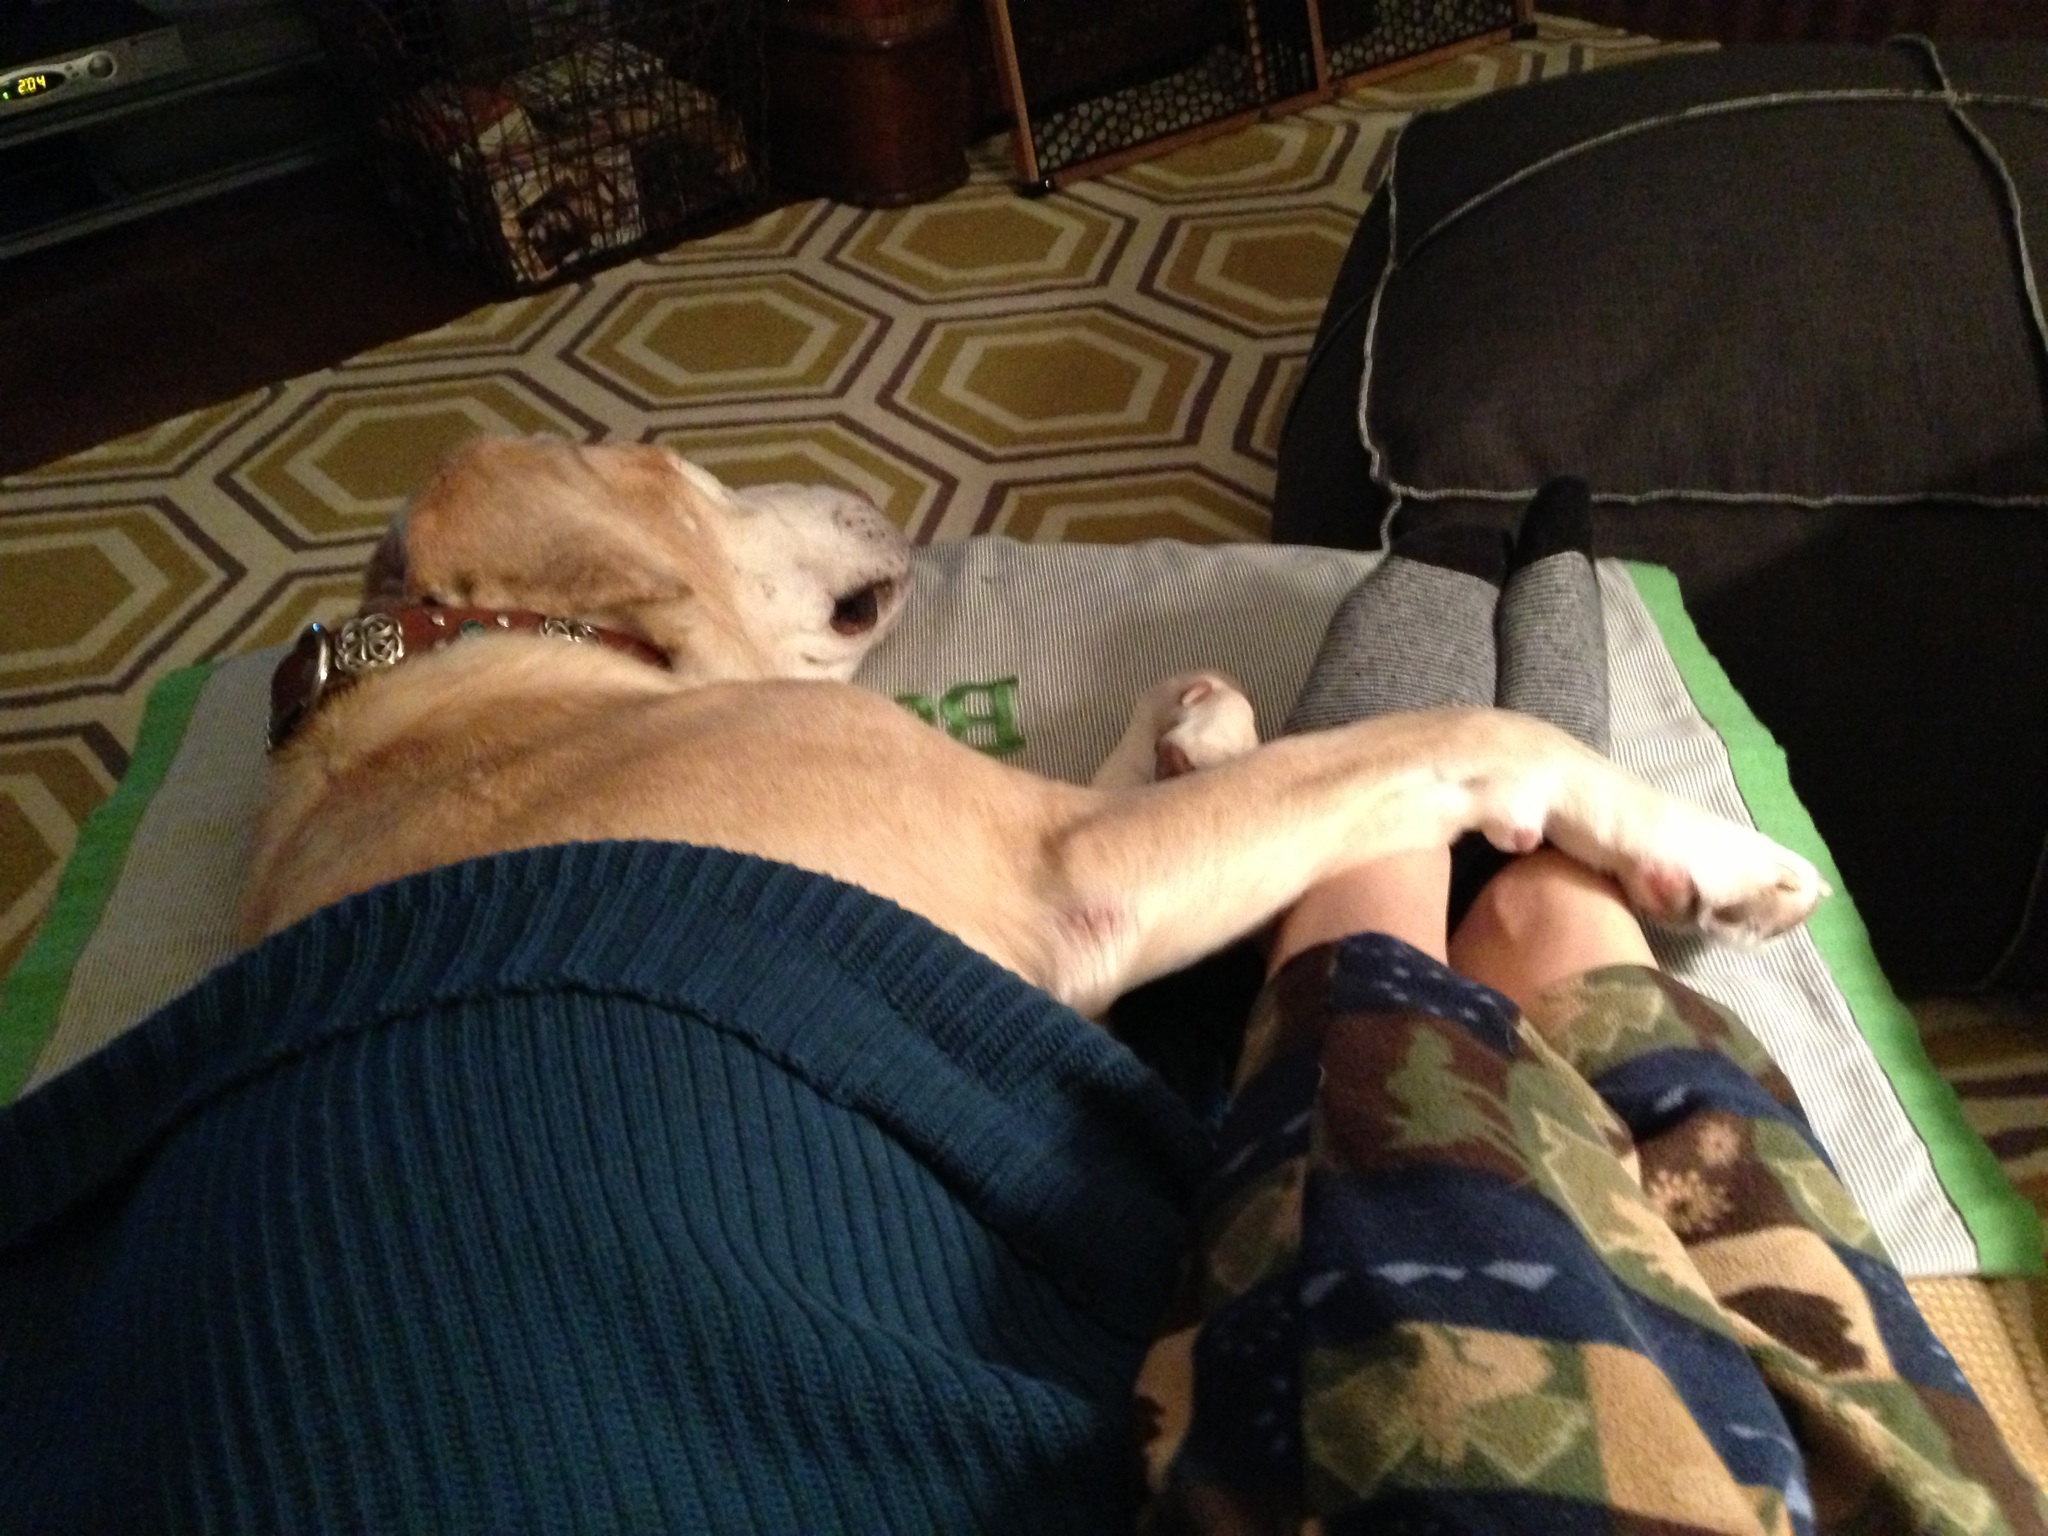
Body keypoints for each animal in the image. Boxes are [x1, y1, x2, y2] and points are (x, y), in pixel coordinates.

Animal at [239, 435, 1827, 1018]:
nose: (857, 490)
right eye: (673, 461)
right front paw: (1708, 854)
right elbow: (1471, 725)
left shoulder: (1064, 843)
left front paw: (1202, 727)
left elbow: (1174, 711)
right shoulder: (1067, 873)